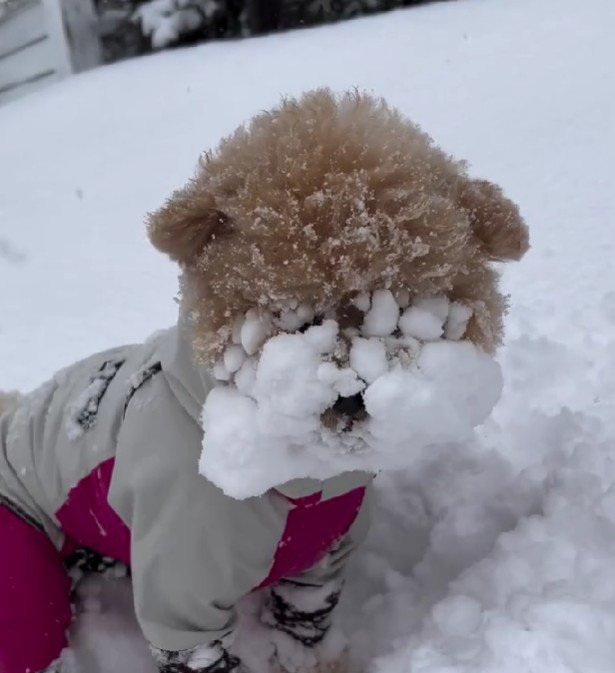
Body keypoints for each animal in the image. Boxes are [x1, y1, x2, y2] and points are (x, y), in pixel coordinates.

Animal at [0, 89, 528, 672]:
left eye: (401, 315)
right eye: (291, 318)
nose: (350, 398)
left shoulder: (319, 566)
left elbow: (302, 630)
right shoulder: (181, 591)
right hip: (21, 569)